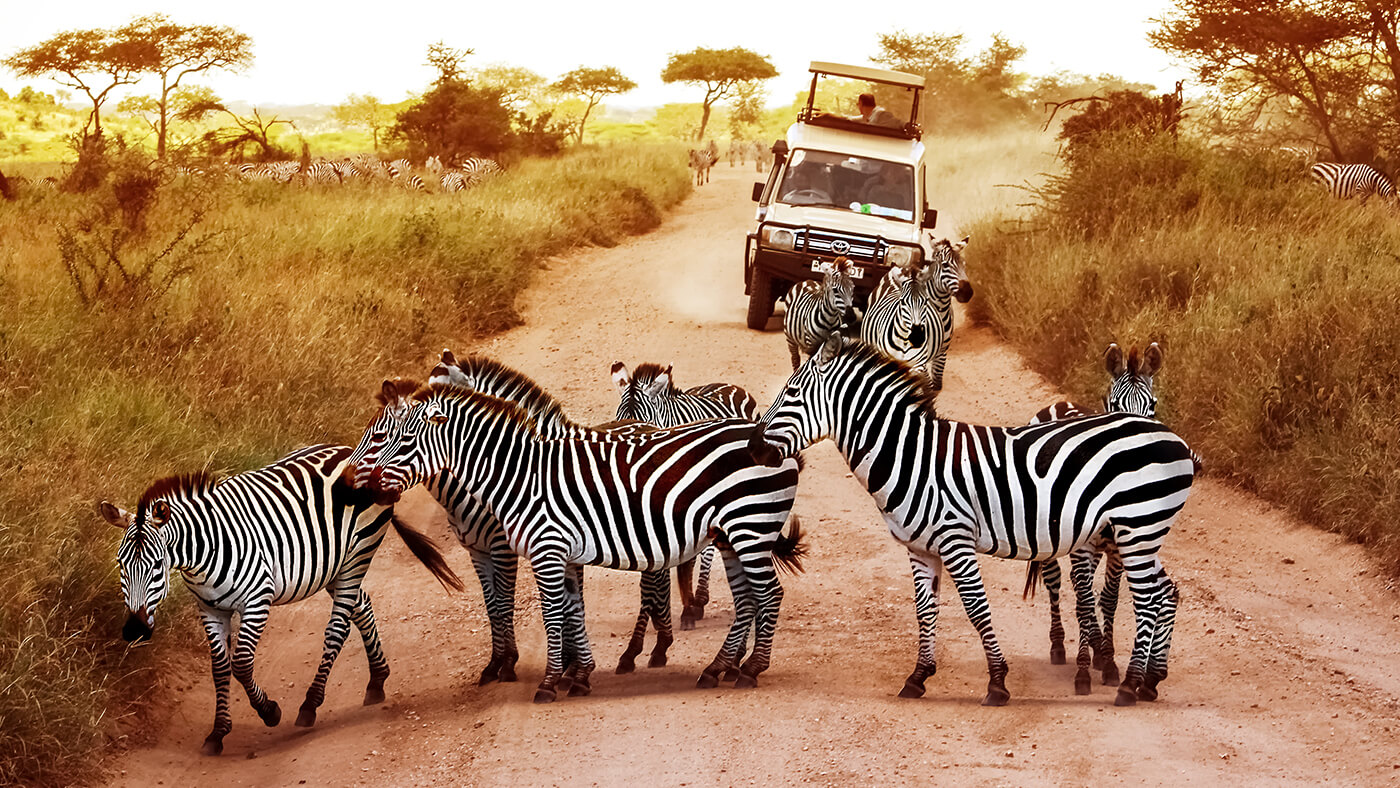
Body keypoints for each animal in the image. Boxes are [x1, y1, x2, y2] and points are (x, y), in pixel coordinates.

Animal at [105, 447, 464, 755]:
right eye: (121, 565)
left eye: (156, 566)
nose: (135, 631)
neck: (203, 552)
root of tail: (349, 450)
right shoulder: (210, 609)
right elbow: (220, 668)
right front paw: (217, 733)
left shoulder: (256, 601)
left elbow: (241, 664)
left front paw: (269, 712)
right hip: (334, 567)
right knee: (361, 606)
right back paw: (377, 680)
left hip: (356, 556)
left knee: (337, 628)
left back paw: (310, 705)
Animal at [355, 383, 806, 702]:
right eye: (381, 437)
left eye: (398, 440)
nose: (367, 488)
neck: (519, 475)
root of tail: (773, 441)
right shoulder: (565, 554)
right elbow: (573, 611)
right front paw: (581, 675)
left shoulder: (547, 548)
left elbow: (553, 615)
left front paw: (550, 682)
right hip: (733, 534)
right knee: (748, 599)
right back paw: (719, 668)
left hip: (750, 527)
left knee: (770, 595)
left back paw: (751, 670)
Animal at [756, 335, 1192, 705]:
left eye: (791, 394)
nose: (756, 447)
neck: (912, 458)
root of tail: (1172, 437)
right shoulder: (920, 548)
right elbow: (925, 610)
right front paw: (918, 677)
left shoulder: (956, 539)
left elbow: (976, 609)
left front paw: (997, 682)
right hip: (1142, 532)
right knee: (1166, 591)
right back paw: (1150, 681)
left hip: (1137, 528)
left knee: (1148, 599)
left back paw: (1130, 686)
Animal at [862, 236, 974, 391]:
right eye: (945, 265)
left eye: (964, 265)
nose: (967, 293)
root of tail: (905, 266)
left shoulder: (941, 352)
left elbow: (935, 383)